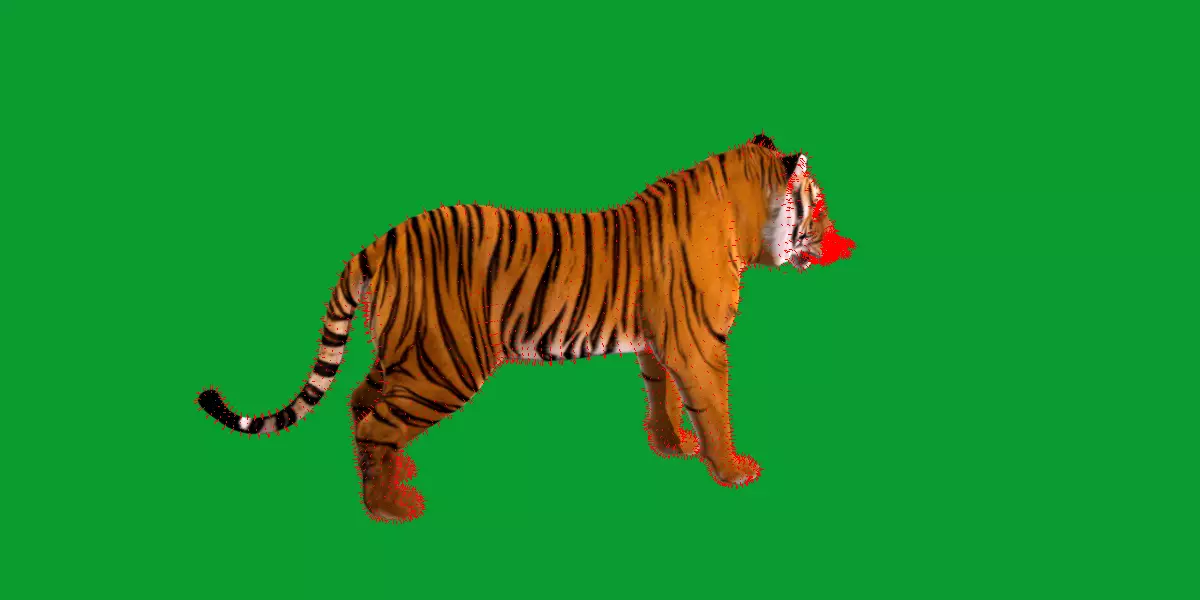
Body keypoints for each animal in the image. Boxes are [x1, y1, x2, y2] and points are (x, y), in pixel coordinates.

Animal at [197, 133, 855, 522]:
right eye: (819, 205)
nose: (840, 241)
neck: (744, 218)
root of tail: (380, 241)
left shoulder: (656, 344)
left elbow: (660, 395)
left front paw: (671, 446)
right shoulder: (701, 347)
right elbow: (715, 408)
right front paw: (733, 471)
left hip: (402, 352)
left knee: (362, 401)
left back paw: (392, 477)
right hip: (445, 363)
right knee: (377, 420)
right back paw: (391, 505)